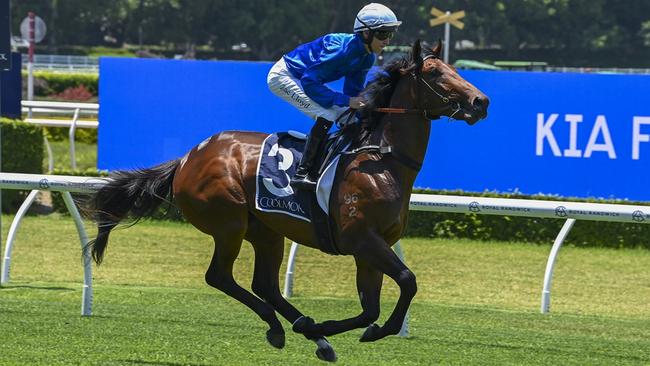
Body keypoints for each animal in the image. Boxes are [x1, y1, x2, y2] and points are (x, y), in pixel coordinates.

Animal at [88, 40, 488, 364]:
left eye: (454, 69)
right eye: (435, 73)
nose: (480, 101)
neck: (382, 160)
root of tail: (187, 158)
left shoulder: (372, 246)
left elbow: (371, 309)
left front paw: (338, 329)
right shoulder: (363, 240)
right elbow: (407, 280)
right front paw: (354, 329)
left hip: (266, 230)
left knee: (265, 285)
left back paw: (310, 333)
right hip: (229, 224)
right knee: (220, 276)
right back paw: (282, 327)